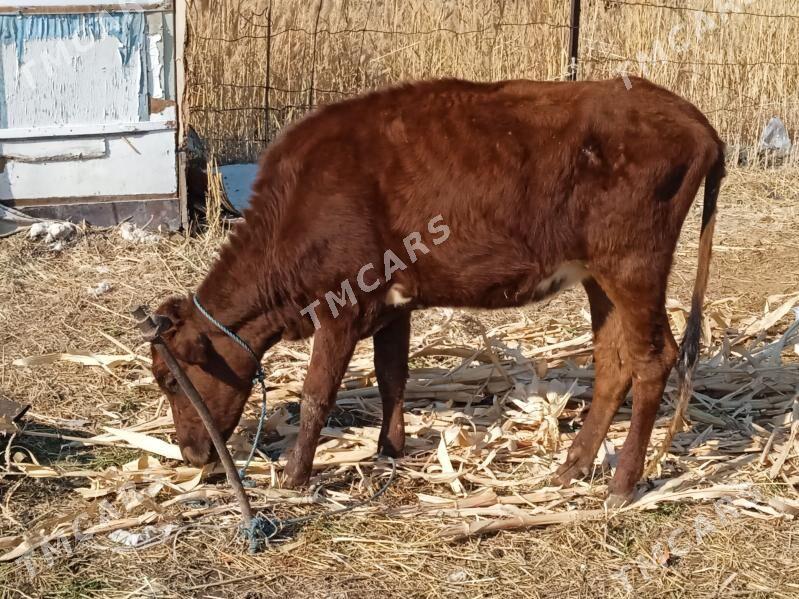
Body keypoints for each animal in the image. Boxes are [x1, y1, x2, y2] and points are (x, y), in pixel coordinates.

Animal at [150, 76, 724, 506]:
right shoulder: (390, 304)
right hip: (598, 276)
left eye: (171, 381)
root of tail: (695, 121)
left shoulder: (340, 306)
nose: (193, 455)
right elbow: (391, 376)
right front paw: (389, 449)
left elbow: (317, 394)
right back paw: (574, 466)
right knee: (613, 361)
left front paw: (295, 477)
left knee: (652, 361)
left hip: (633, 266)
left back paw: (622, 484)